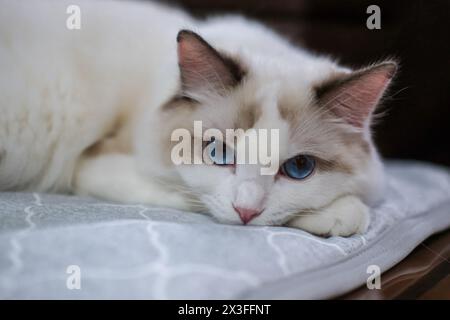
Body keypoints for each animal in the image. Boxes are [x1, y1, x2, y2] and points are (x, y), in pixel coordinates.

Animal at [0, 0, 396, 235]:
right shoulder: (93, 164)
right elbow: (189, 197)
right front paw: (342, 214)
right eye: (218, 154)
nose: (246, 212)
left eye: (299, 168)